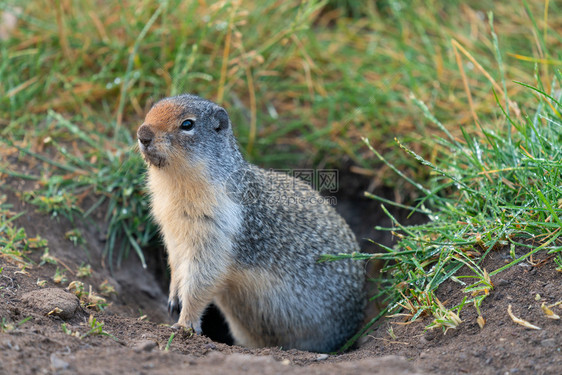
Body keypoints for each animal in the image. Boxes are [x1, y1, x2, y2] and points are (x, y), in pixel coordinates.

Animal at [136, 95, 364, 354]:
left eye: (187, 124)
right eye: (151, 110)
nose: (143, 134)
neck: (174, 185)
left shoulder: (215, 232)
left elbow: (201, 279)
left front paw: (184, 324)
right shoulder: (171, 230)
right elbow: (176, 262)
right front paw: (173, 297)